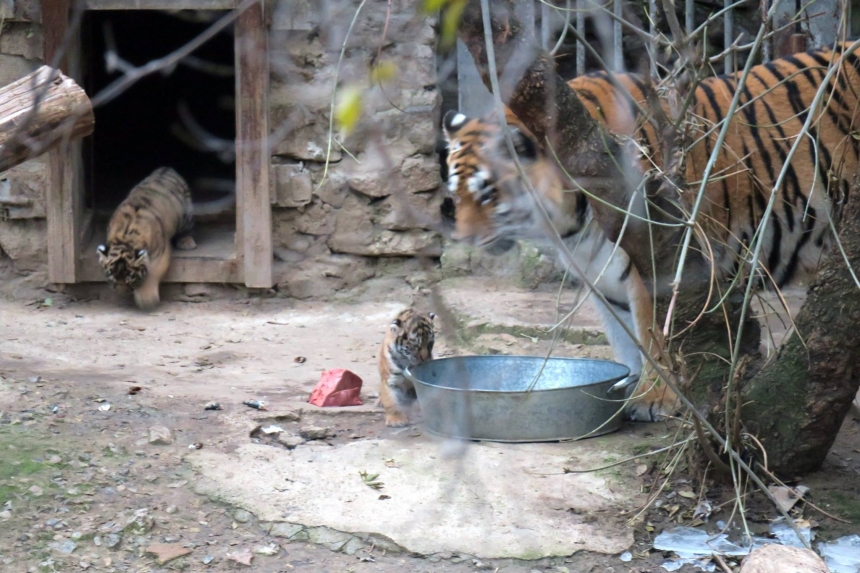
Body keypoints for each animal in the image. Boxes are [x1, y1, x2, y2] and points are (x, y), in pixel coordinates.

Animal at [444, 43, 860, 420]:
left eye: (487, 193)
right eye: (455, 194)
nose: (462, 240)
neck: (570, 224)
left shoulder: (658, 263)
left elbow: (654, 335)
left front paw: (654, 399)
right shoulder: (600, 276)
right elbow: (625, 339)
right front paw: (625, 391)